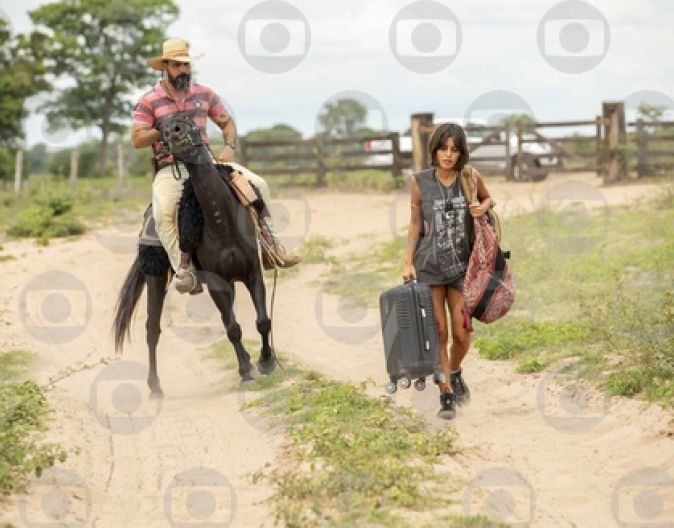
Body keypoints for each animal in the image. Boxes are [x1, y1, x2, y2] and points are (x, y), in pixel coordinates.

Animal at [113, 113, 272, 394]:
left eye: (190, 120)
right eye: (161, 128)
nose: (176, 130)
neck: (222, 221)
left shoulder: (253, 272)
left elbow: (262, 320)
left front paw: (267, 363)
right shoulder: (217, 283)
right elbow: (232, 328)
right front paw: (246, 372)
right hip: (155, 275)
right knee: (152, 329)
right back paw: (155, 387)